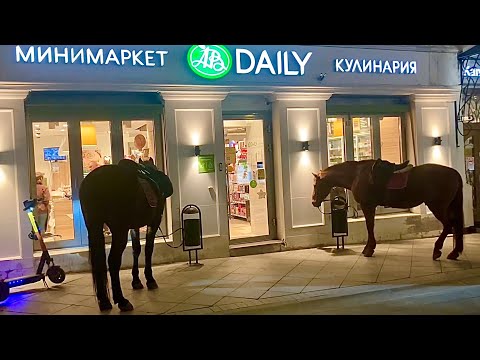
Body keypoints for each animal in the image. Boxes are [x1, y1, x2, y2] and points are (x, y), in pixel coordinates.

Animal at [79, 159, 173, 310]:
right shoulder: (154, 221)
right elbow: (148, 249)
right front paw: (150, 279)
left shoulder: (134, 226)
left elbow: (136, 249)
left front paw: (136, 281)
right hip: (119, 230)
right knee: (113, 261)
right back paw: (121, 300)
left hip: (94, 226)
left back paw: (104, 301)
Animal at [312, 159, 464, 260]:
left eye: (315, 185)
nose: (313, 202)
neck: (357, 175)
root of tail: (454, 173)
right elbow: (370, 225)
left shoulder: (368, 205)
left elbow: (369, 226)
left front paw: (369, 249)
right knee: (455, 225)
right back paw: (454, 252)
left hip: (437, 206)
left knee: (448, 225)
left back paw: (437, 250)